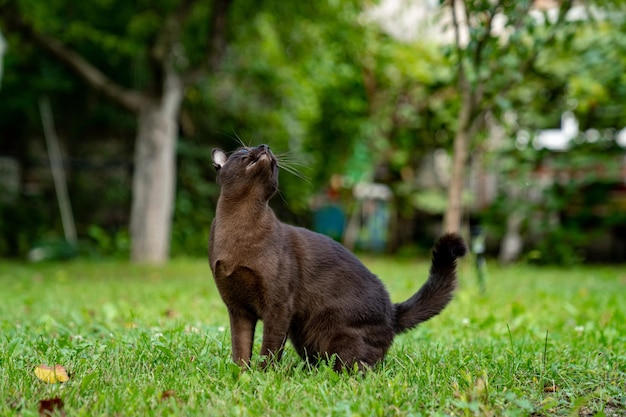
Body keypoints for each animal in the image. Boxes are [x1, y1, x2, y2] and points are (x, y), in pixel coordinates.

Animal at [207, 144, 466, 370]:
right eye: (243, 149)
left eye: (274, 160)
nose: (265, 147)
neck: (241, 223)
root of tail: (392, 313)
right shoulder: (238, 310)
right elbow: (241, 351)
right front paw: (242, 377)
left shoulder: (278, 306)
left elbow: (268, 351)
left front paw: (263, 377)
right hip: (302, 335)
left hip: (334, 334)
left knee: (358, 368)